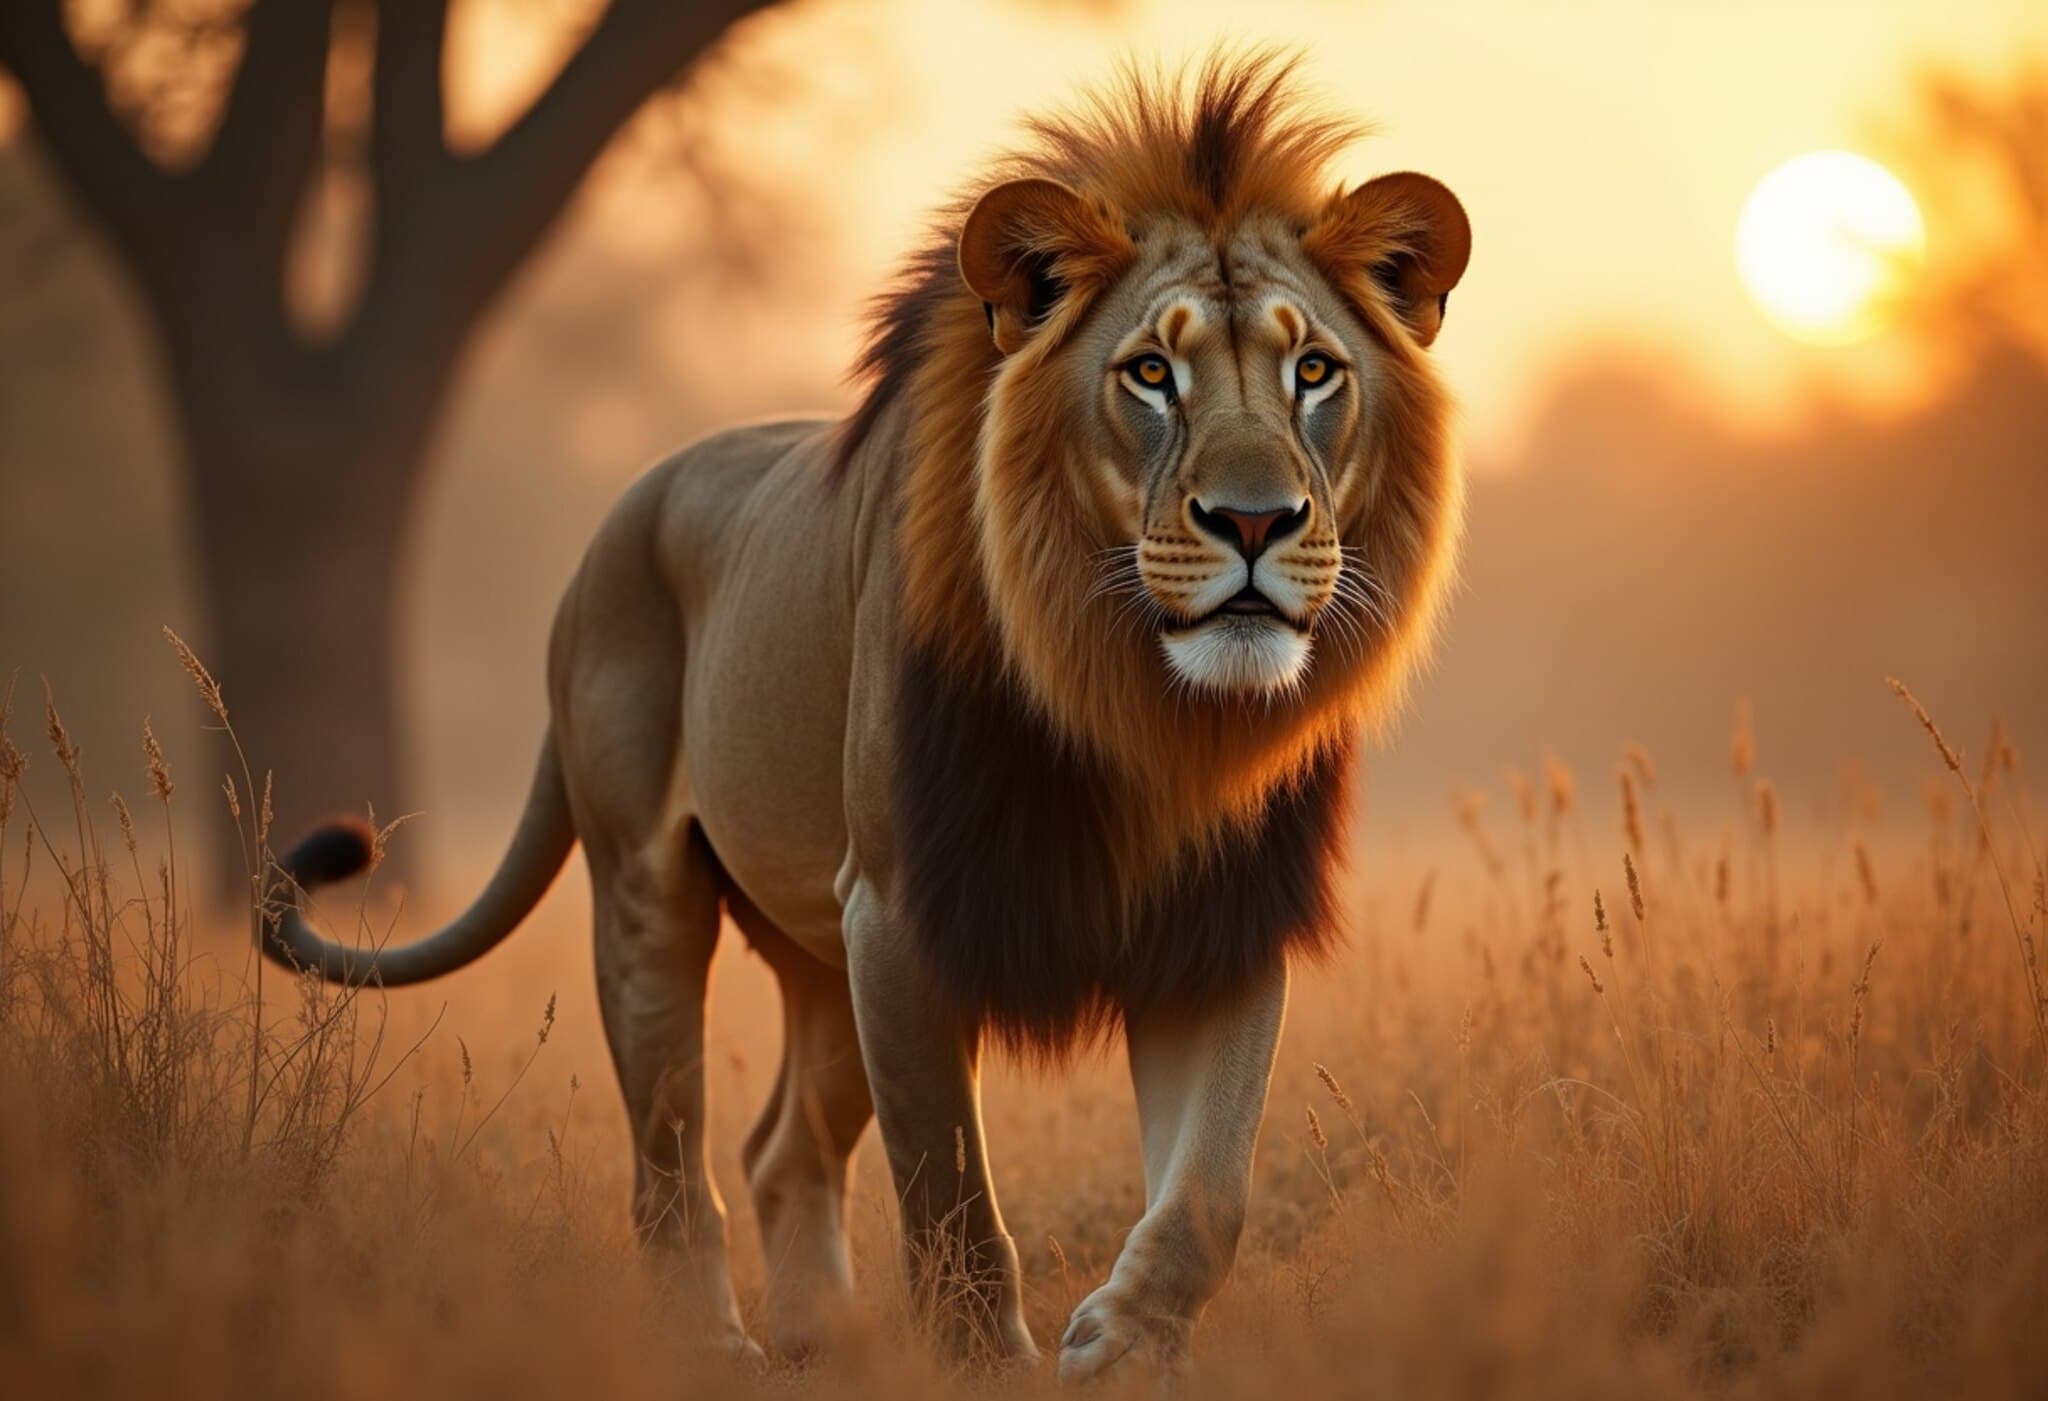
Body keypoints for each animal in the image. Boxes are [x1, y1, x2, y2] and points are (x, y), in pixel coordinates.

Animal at [268, 53, 1470, 1380]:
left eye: (1314, 372)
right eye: (1150, 374)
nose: (1254, 521)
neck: (1138, 706)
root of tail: (605, 537)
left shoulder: (1221, 926)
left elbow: (1208, 1191)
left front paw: (1121, 1350)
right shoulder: (897, 919)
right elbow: (950, 1195)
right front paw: (988, 1369)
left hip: (815, 952)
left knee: (780, 1149)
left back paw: (819, 1339)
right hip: (652, 898)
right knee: (672, 1163)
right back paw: (716, 1349)